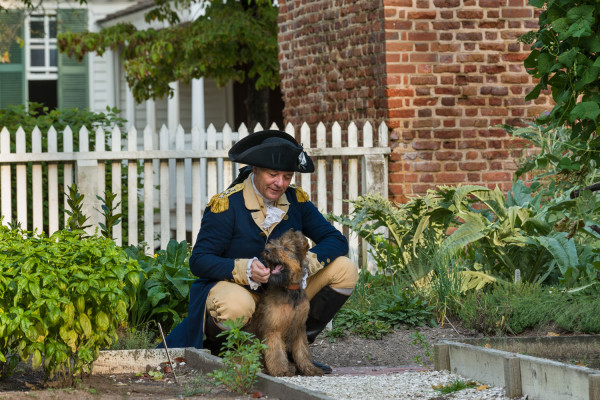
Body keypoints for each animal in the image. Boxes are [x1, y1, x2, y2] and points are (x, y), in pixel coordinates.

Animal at [246, 230, 324, 376]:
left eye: (286, 248)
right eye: (272, 244)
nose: (267, 250)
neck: (289, 289)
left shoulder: (299, 328)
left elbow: (303, 352)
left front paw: (309, 368)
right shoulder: (274, 329)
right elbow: (276, 353)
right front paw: (281, 370)